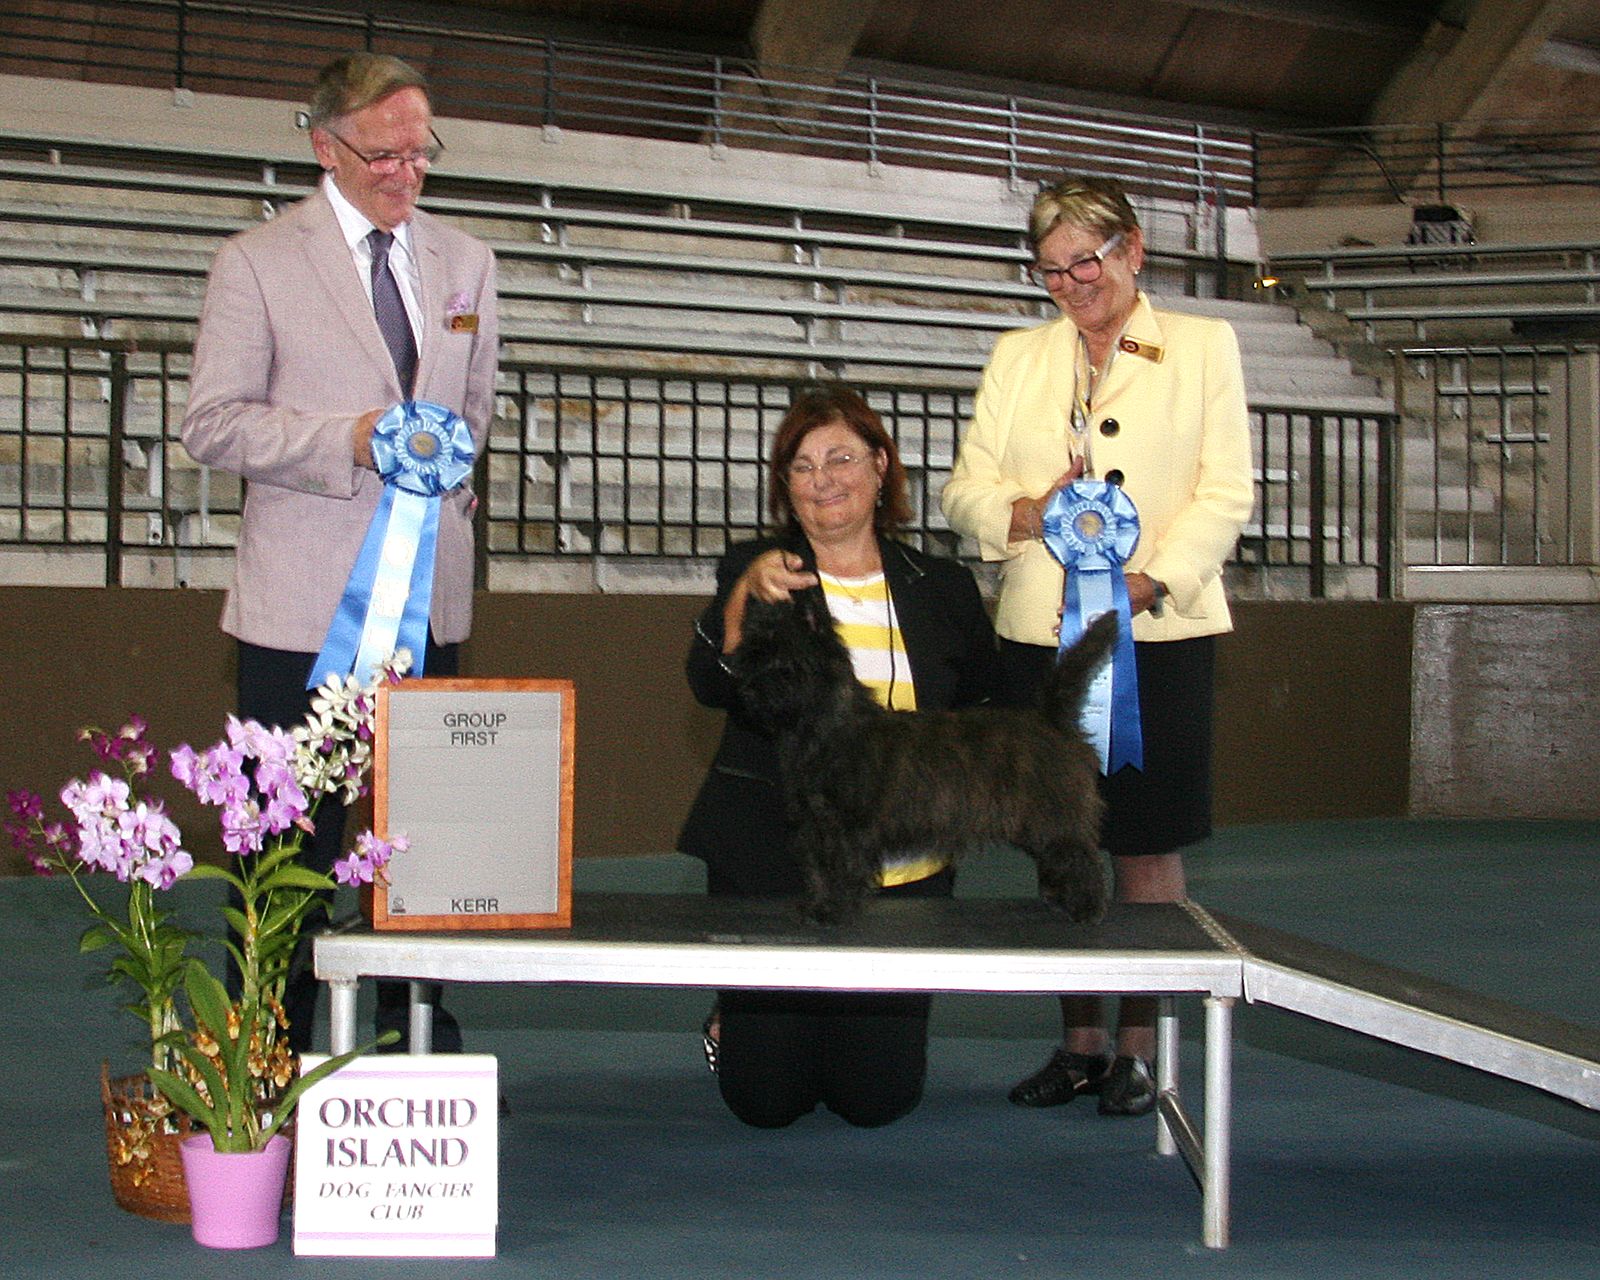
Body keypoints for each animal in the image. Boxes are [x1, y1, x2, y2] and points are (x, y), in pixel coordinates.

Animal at [730, 591, 1117, 925]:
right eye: (749, 658)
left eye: (785, 663)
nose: (747, 691)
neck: (821, 728)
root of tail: (1052, 718)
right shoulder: (813, 825)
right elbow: (817, 870)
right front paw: (816, 904)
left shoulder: (846, 824)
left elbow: (841, 868)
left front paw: (833, 909)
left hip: (1055, 814)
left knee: (1081, 856)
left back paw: (1087, 907)